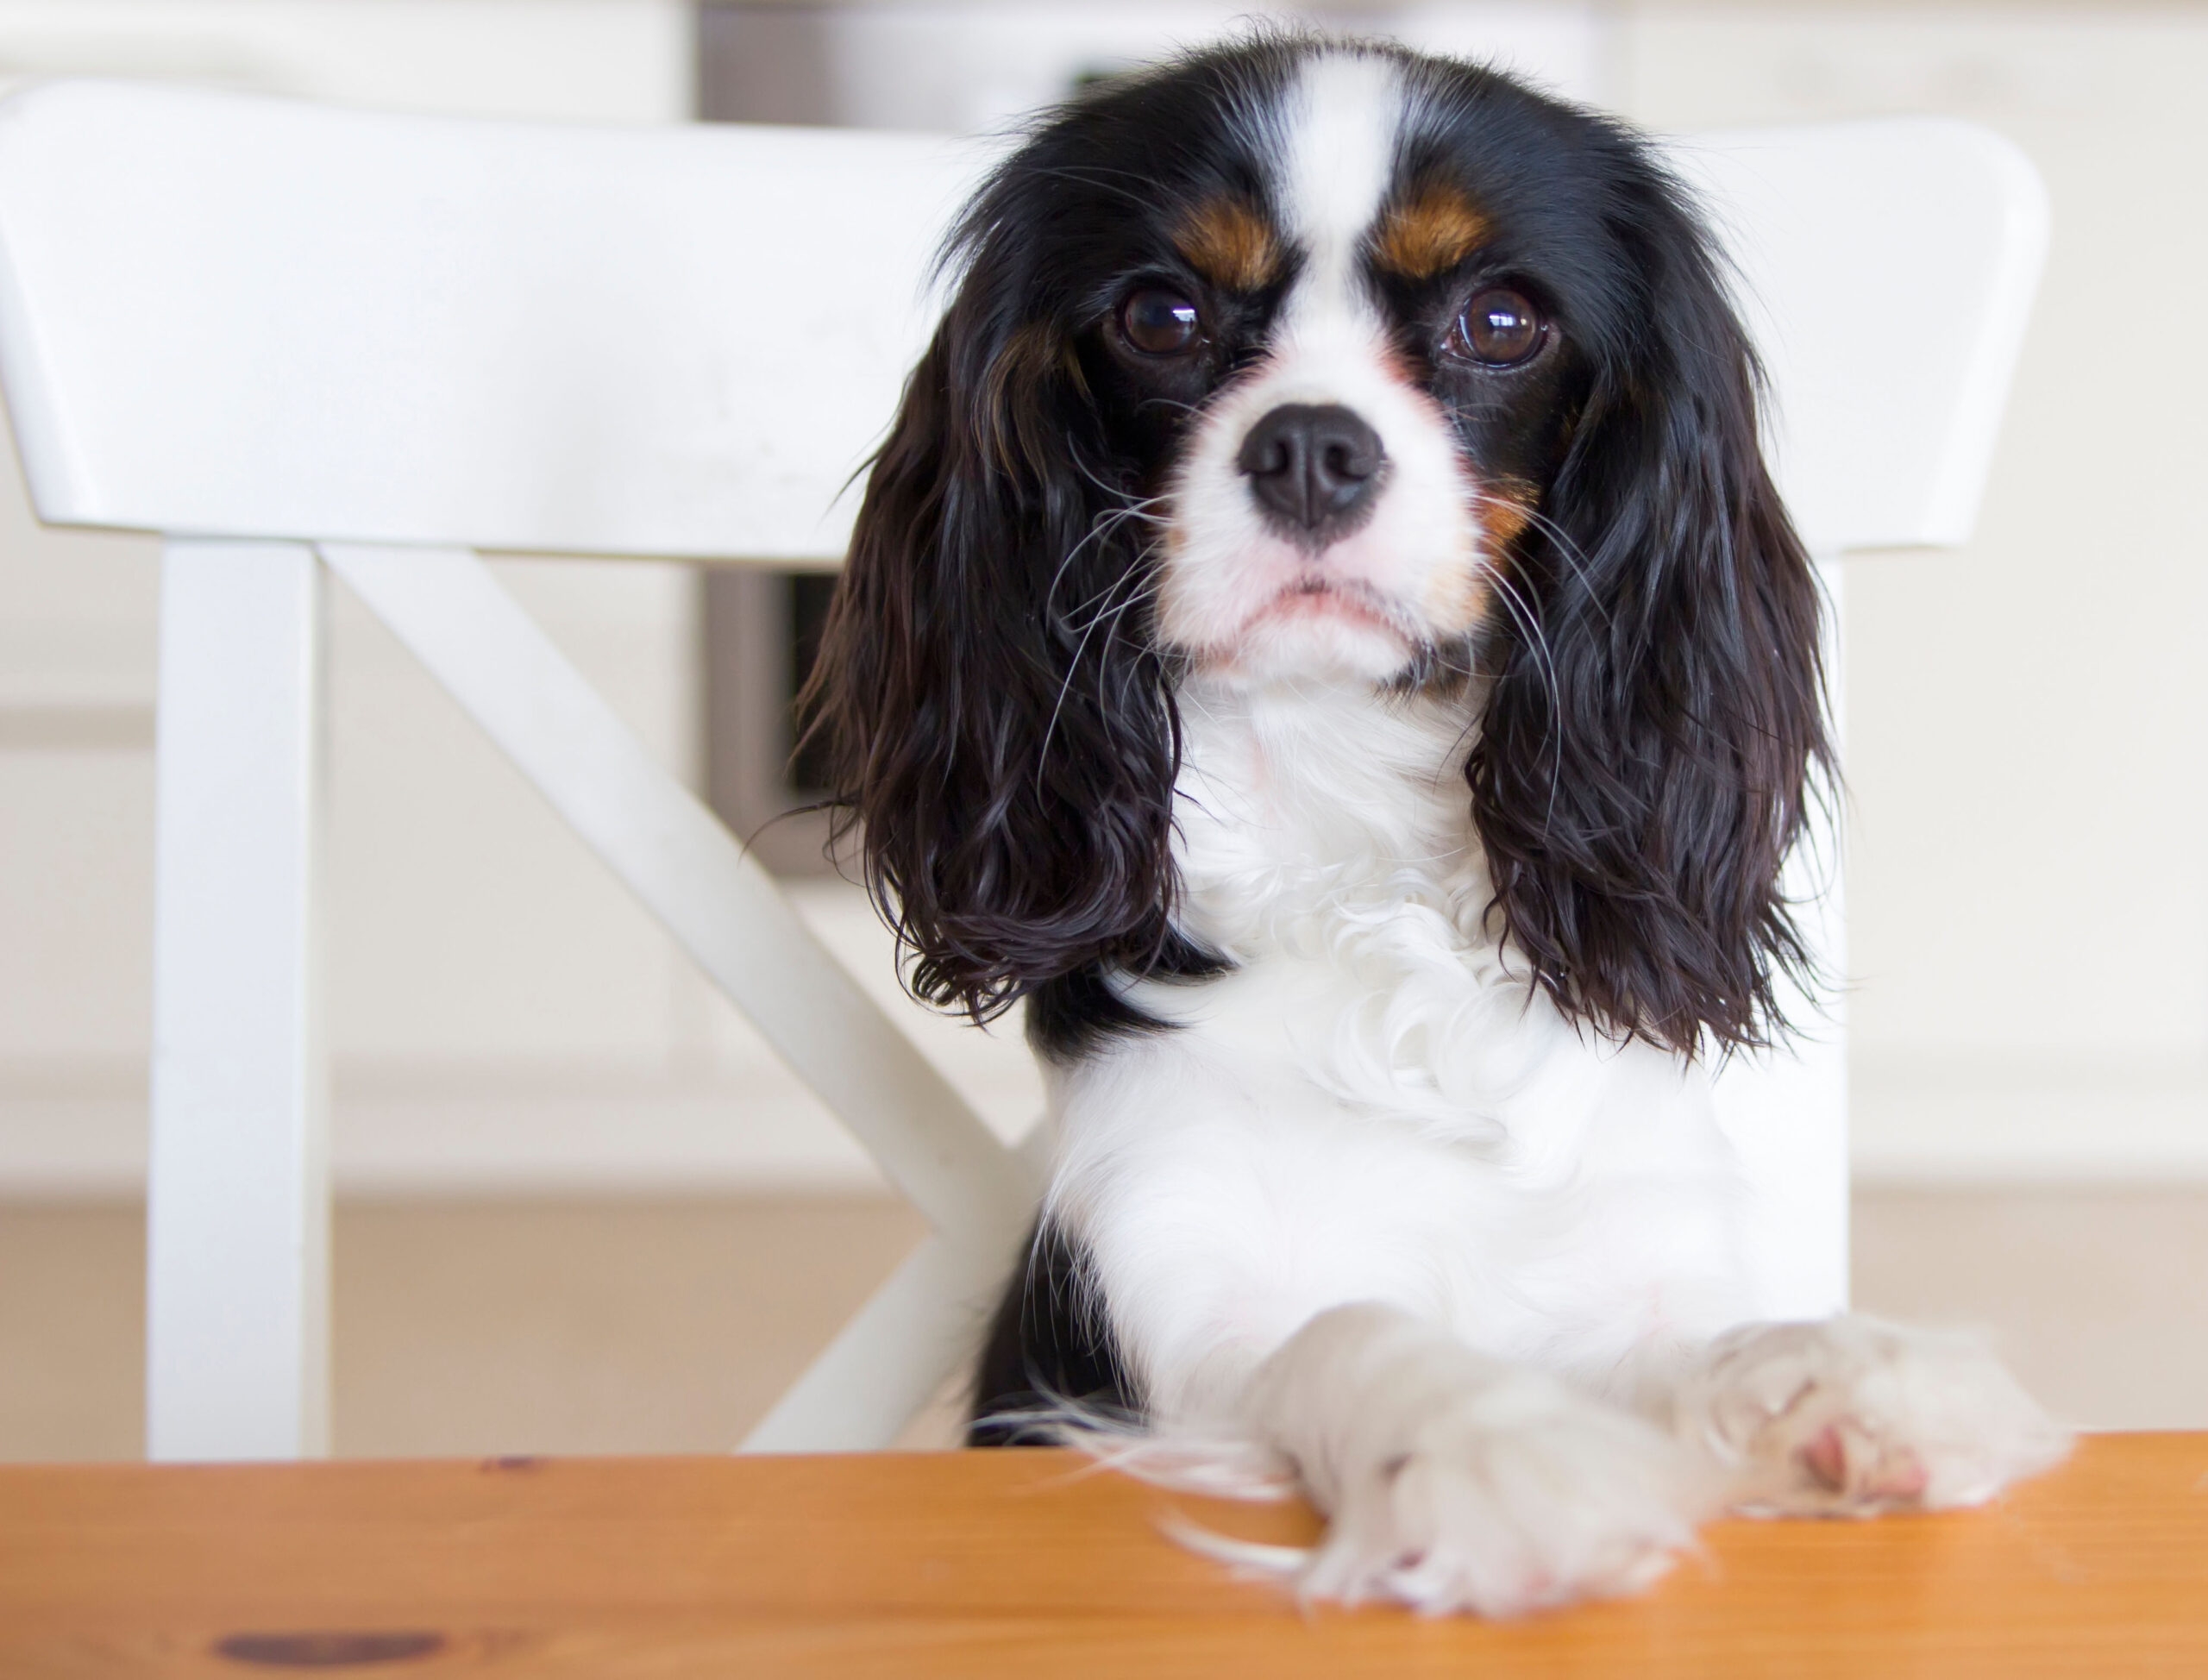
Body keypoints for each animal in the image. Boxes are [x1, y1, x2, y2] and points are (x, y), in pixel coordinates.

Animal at [799, 35, 2067, 1615]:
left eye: (1502, 320)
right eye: (1162, 315)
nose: (1311, 447)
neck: (1358, 844)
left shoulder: (1614, 1267)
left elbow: (1681, 1345)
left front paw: (1840, 1372)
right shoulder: (1157, 1329)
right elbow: (1346, 1328)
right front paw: (1497, 1447)